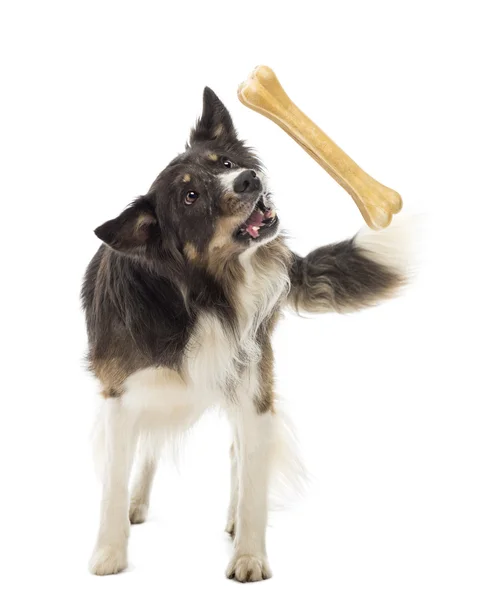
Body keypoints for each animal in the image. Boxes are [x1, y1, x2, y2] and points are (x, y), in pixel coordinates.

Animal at [81, 89, 410, 580]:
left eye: (224, 162)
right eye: (191, 196)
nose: (249, 179)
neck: (200, 297)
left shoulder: (253, 388)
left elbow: (253, 479)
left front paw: (249, 556)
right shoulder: (119, 395)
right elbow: (115, 480)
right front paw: (109, 553)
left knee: (236, 454)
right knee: (151, 446)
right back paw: (138, 504)